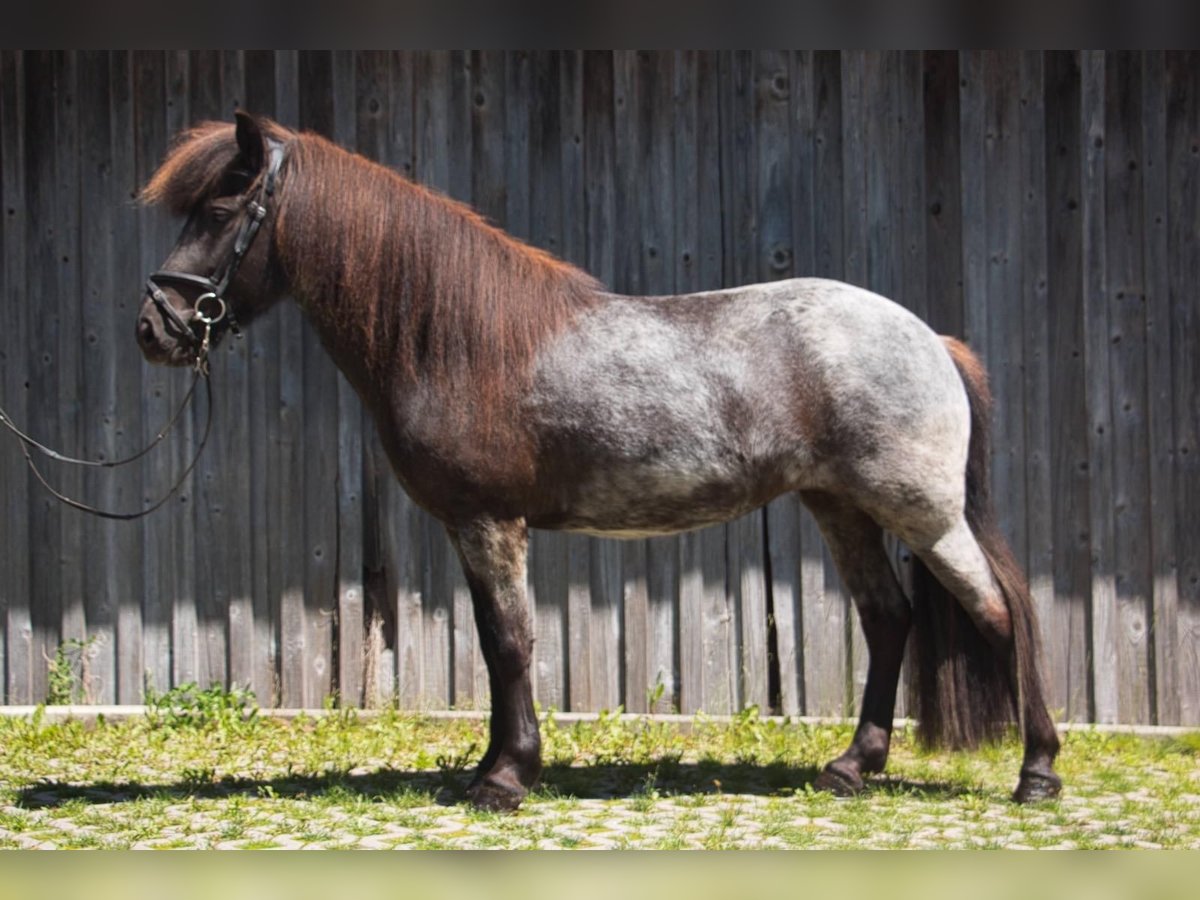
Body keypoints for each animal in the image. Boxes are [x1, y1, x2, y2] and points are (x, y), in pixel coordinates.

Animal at [136, 111, 1065, 811]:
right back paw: (850, 768)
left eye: (221, 210)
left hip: (923, 511)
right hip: (842, 508)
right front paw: (491, 768)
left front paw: (506, 780)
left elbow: (512, 643)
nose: (155, 329)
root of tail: (932, 339)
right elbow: (492, 644)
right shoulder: (472, 528)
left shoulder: (491, 523)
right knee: (889, 619)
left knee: (1003, 610)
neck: (459, 340)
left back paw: (1037, 773)